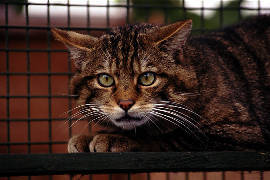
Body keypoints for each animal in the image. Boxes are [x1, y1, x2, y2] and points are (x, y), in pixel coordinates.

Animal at [52, 15, 270, 152]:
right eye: (105, 79)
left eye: (147, 78)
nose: (125, 104)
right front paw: (87, 137)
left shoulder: (241, 130)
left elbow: (169, 137)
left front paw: (114, 138)